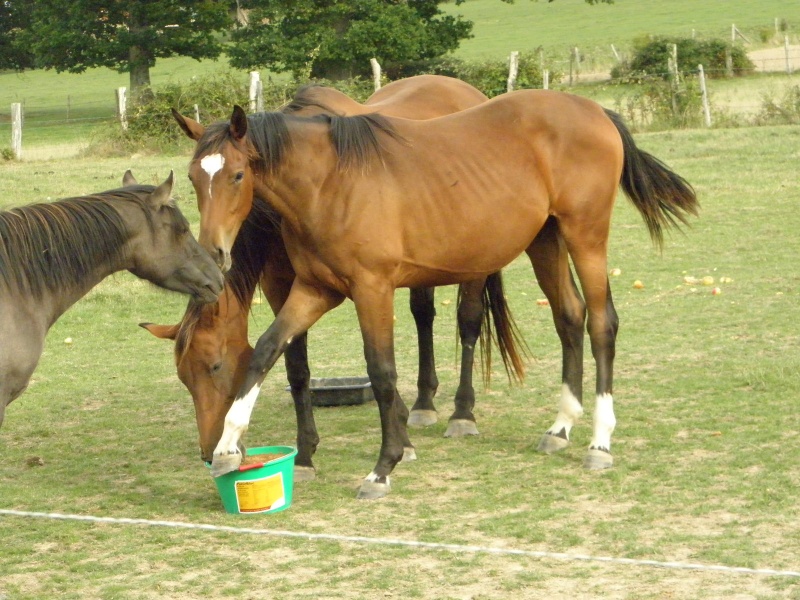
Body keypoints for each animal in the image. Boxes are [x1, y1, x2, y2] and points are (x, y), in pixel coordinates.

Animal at [151, 76, 528, 478]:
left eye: (215, 366)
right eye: (191, 178)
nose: (208, 450)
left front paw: (400, 443)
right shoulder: (283, 286)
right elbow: (295, 367)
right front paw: (305, 454)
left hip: (473, 262)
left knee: (468, 323)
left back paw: (461, 412)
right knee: (423, 316)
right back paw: (424, 403)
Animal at [184, 86, 696, 496]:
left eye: (236, 176)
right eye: (192, 179)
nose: (214, 252)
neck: (330, 182)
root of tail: (594, 110)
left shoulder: (373, 290)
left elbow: (383, 373)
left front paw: (385, 466)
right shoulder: (313, 290)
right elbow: (268, 351)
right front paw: (230, 448)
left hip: (585, 236)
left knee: (601, 323)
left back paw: (599, 441)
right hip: (545, 241)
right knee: (569, 317)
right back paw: (560, 427)